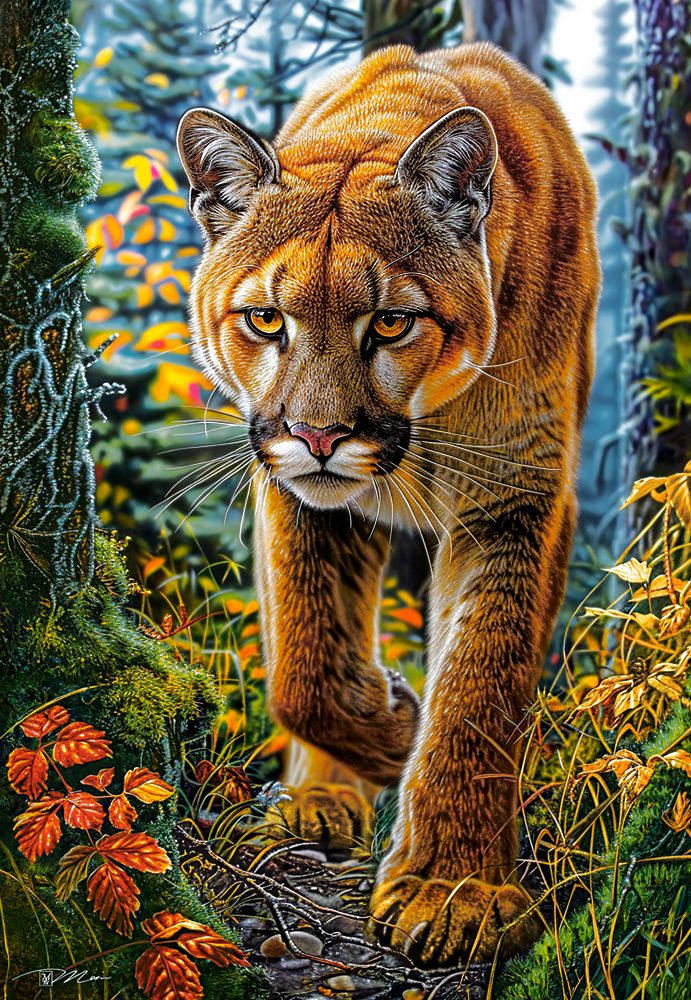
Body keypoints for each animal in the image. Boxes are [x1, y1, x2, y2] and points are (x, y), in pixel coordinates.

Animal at [177, 41, 599, 967]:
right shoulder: (295, 494)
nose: (318, 435)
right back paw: (316, 802)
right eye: (267, 319)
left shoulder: (516, 495)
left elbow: (480, 683)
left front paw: (454, 889)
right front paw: (395, 728)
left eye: (392, 323)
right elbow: (303, 664)